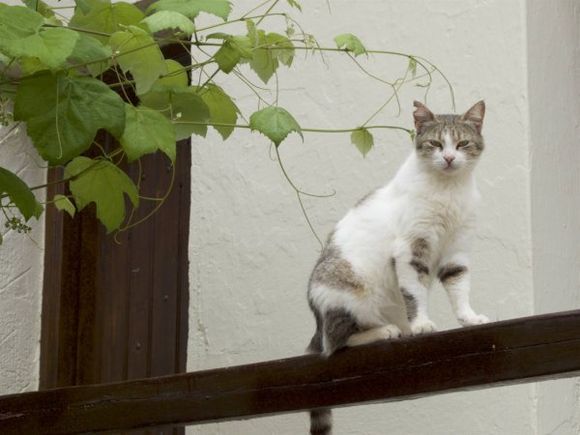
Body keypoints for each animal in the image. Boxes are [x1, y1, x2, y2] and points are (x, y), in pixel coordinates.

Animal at [306, 100, 492, 434]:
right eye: (435, 144)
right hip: (351, 292)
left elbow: (459, 287)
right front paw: (421, 324)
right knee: (335, 343)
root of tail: (316, 319)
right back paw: (385, 331)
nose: (448, 158)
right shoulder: (410, 249)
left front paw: (469, 318)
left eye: (461, 144)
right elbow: (414, 292)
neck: (448, 191)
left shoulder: (457, 250)